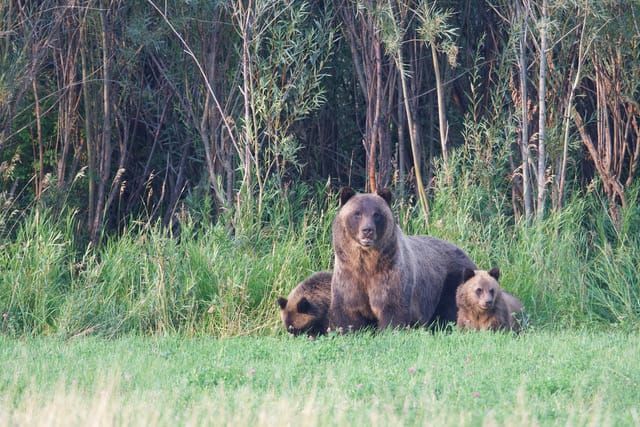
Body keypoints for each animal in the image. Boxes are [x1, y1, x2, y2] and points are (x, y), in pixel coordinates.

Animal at [328, 187, 477, 331]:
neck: (368, 261)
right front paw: (347, 329)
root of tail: (466, 254)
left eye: (376, 214)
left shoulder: (390, 272)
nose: (367, 230)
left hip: (451, 279)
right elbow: (348, 311)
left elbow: (392, 307)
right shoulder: (349, 275)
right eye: (357, 213)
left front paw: (390, 329)